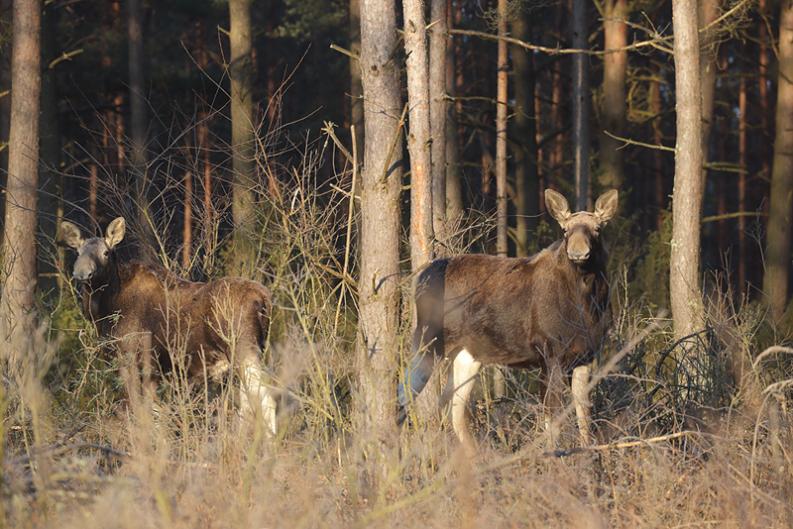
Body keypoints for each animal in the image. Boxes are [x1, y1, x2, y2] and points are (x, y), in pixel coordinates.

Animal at [58, 216, 276, 434]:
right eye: (77, 252)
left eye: (105, 252)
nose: (82, 273)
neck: (104, 311)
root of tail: (265, 298)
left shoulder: (130, 358)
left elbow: (138, 412)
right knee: (247, 406)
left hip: (243, 349)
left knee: (266, 401)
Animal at [400, 189, 616, 446]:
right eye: (565, 230)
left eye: (597, 228)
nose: (578, 252)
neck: (587, 305)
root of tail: (420, 279)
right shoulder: (551, 353)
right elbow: (553, 419)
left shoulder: (585, 355)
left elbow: (584, 415)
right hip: (428, 340)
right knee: (403, 395)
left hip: (467, 355)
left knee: (454, 411)